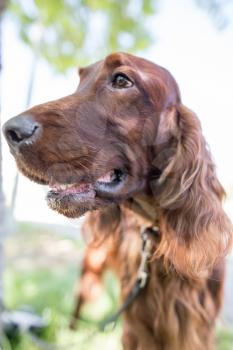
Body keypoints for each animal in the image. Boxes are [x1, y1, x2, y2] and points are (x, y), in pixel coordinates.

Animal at [3, 52, 231, 350]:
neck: (157, 232)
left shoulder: (196, 328)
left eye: (122, 80)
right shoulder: (137, 325)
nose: (10, 131)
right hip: (90, 269)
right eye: (80, 81)